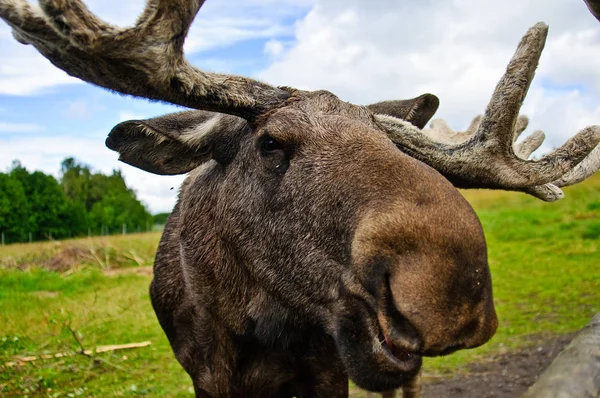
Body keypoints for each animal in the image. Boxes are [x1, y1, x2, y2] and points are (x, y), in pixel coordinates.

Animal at [1, 0, 600, 398]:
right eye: (270, 142)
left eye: (394, 142)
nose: (454, 289)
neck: (251, 327)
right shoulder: (206, 376)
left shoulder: (328, 373)